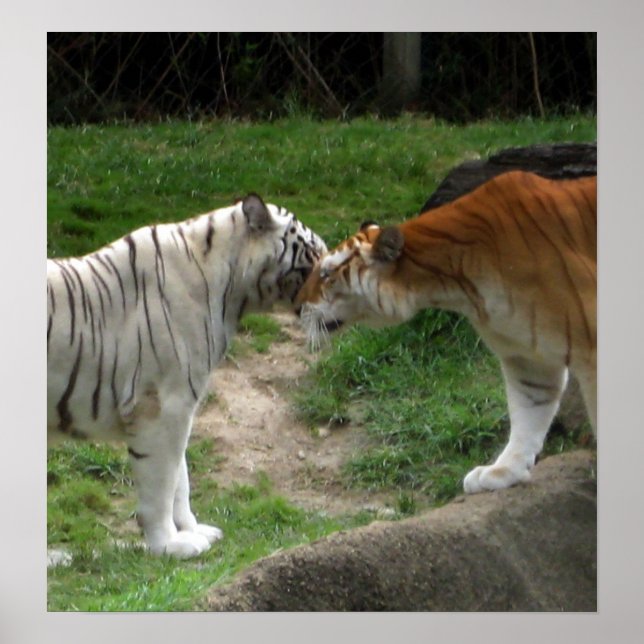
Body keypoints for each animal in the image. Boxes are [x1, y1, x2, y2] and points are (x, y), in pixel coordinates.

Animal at [47, 193, 326, 558]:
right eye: (315, 255)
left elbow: (180, 477)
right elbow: (162, 483)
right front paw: (169, 544)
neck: (231, 292)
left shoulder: (180, 408)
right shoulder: (163, 406)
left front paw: (193, 530)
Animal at [295, 170, 596, 494]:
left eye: (326, 274)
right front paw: (502, 471)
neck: (459, 284)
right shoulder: (526, 356)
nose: (296, 307)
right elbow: (528, 415)